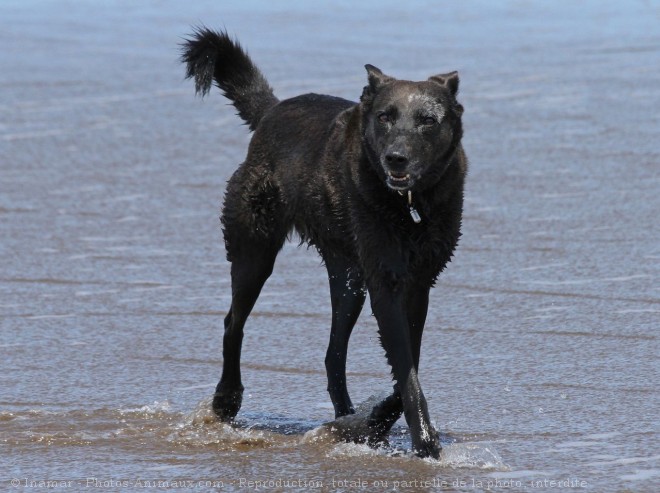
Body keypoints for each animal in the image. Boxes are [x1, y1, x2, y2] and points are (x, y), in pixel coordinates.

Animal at [183, 27, 466, 458]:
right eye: (385, 117)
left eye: (427, 121)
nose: (395, 158)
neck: (410, 203)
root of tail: (271, 112)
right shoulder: (386, 284)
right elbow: (408, 373)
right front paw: (426, 445)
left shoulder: (419, 284)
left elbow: (407, 366)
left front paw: (373, 423)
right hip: (254, 251)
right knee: (234, 322)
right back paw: (226, 400)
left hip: (348, 278)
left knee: (333, 354)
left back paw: (345, 418)